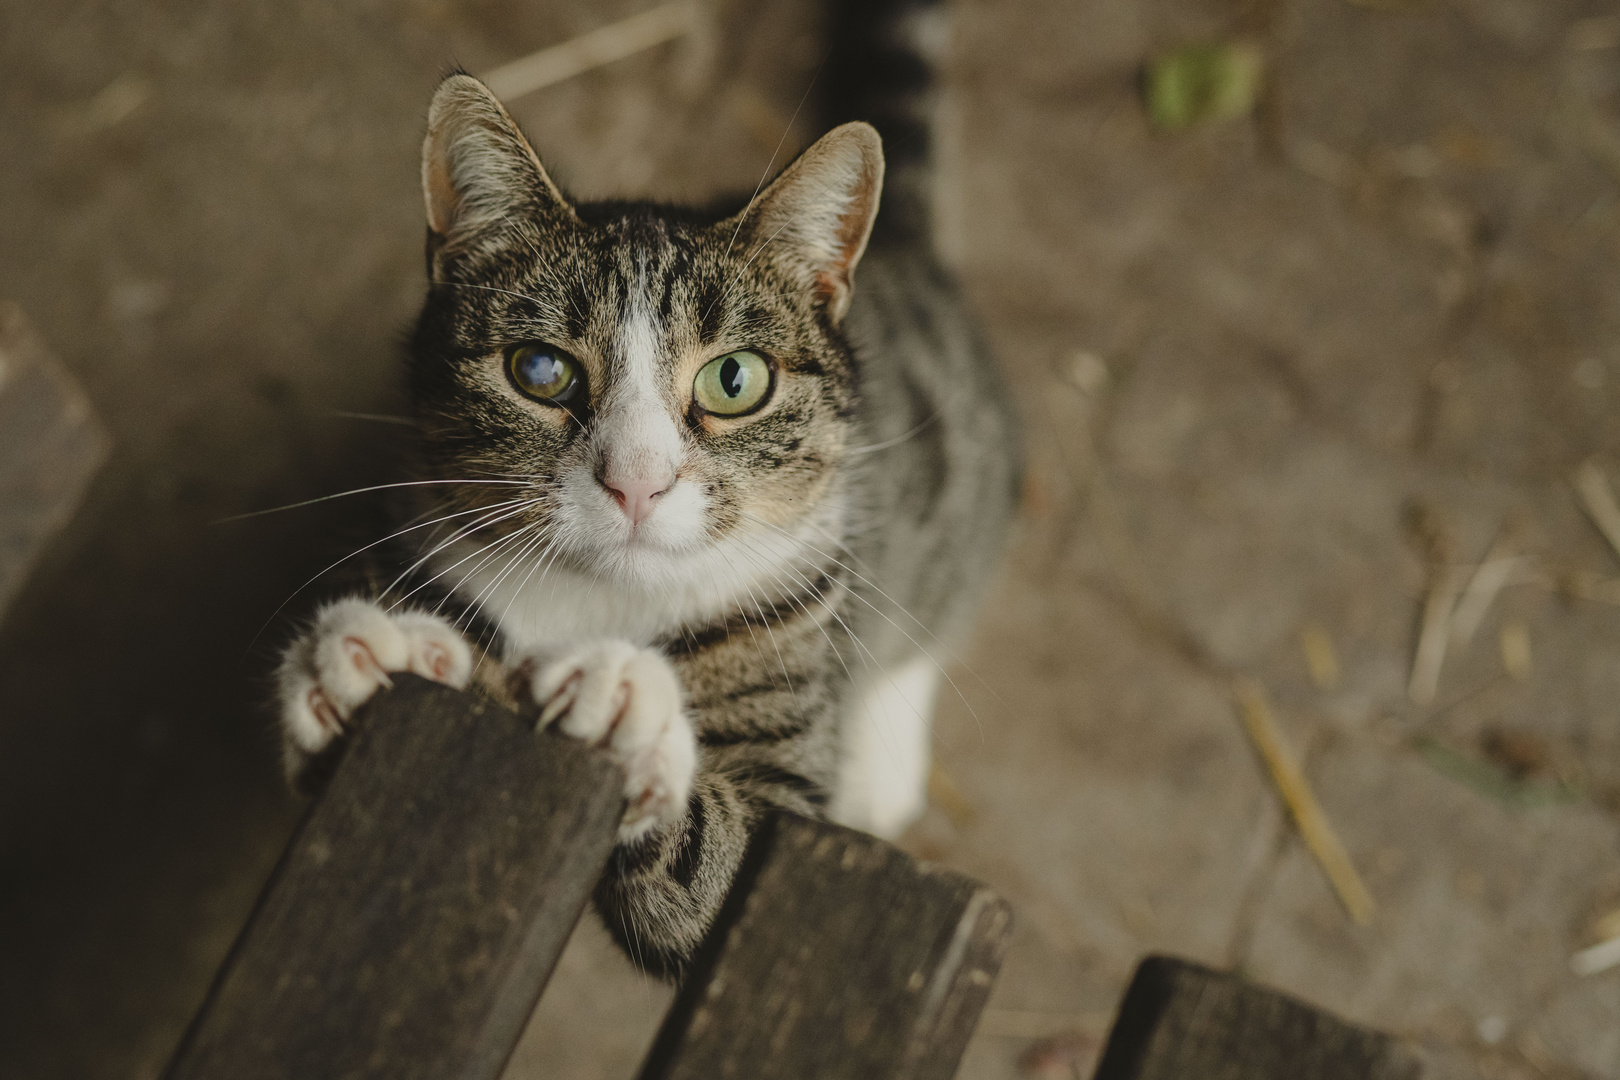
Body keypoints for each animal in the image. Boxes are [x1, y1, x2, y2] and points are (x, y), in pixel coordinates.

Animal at [272, 0, 1017, 977]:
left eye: (735, 380)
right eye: (539, 369)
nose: (635, 481)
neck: (604, 602)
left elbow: (729, 885)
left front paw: (625, 706)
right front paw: (367, 658)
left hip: (957, 469)